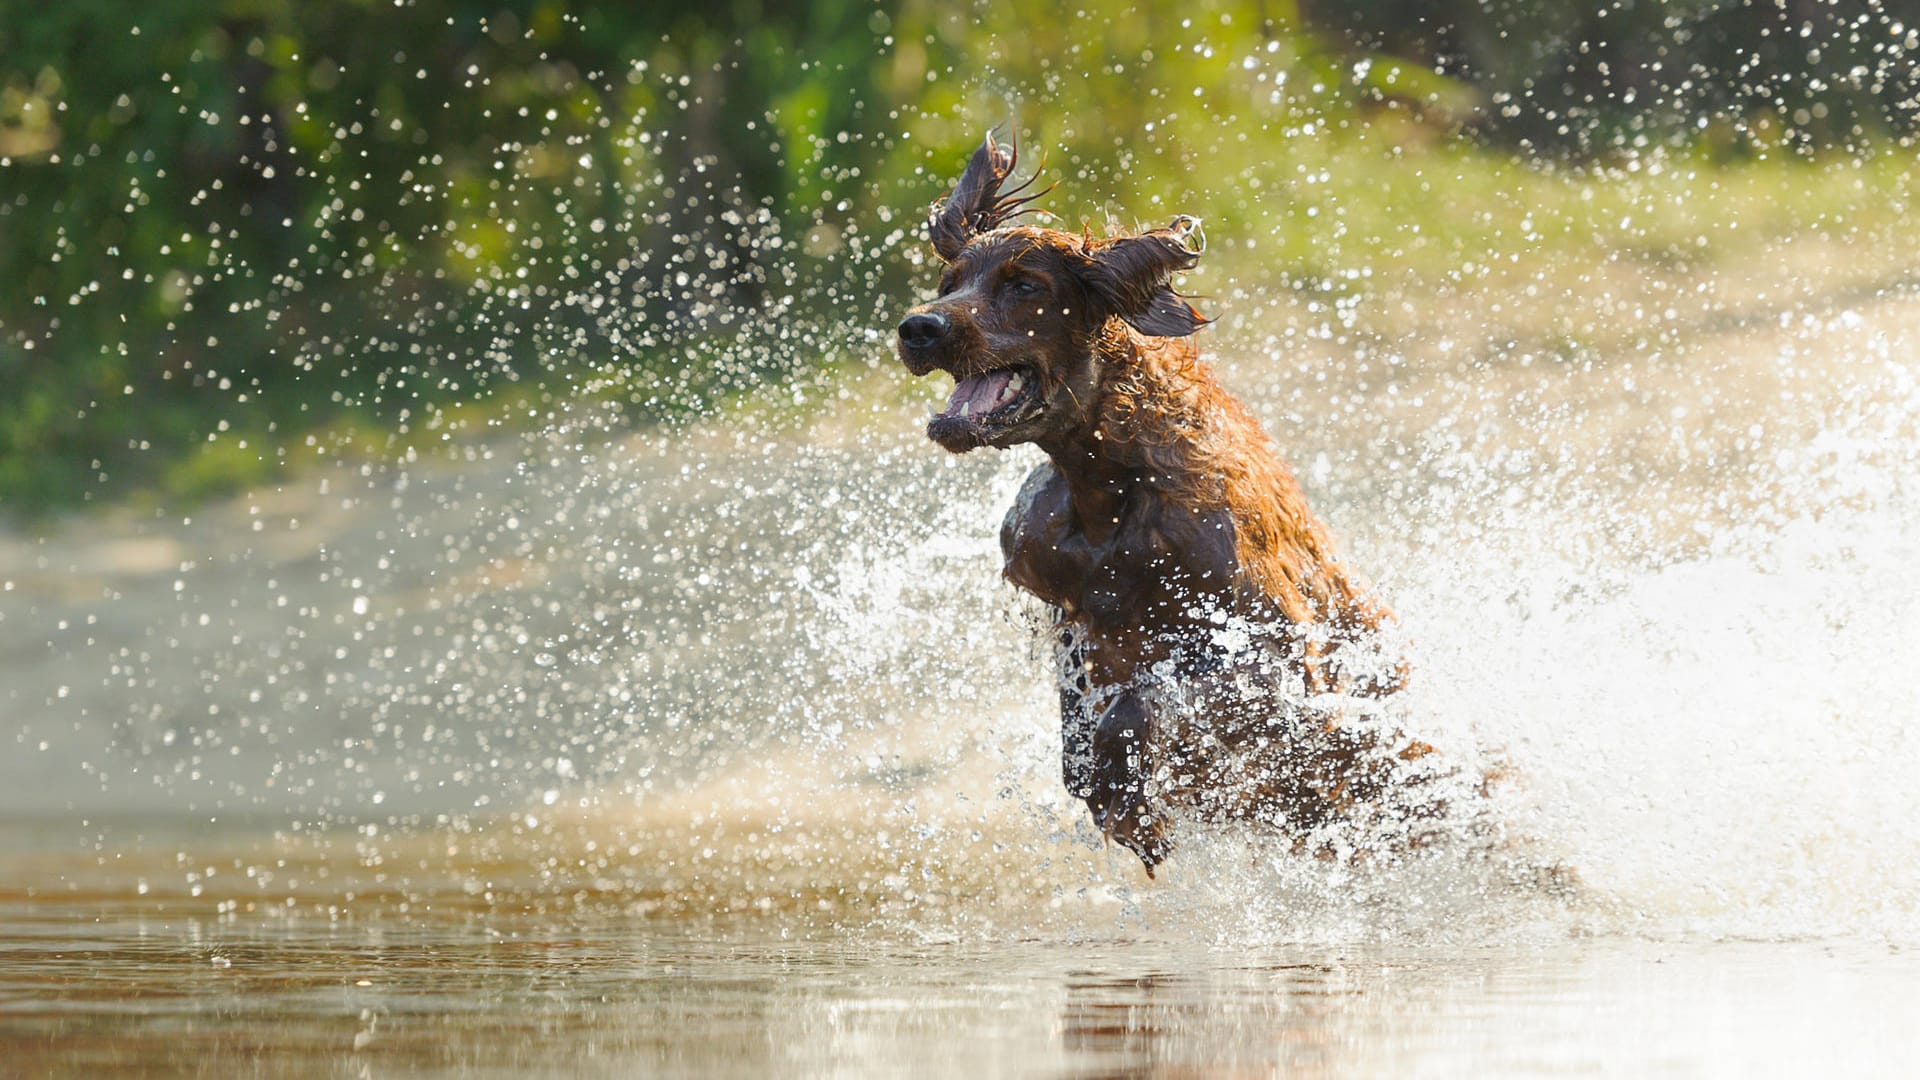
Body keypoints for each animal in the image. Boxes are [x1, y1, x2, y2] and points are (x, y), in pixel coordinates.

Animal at [898, 132, 1451, 876]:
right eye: (948, 283)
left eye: (1024, 285)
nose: (918, 328)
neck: (1111, 482)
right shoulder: (1066, 608)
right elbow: (1082, 743)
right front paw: (1123, 806)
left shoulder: (1269, 650)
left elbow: (1138, 704)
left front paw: (1134, 805)